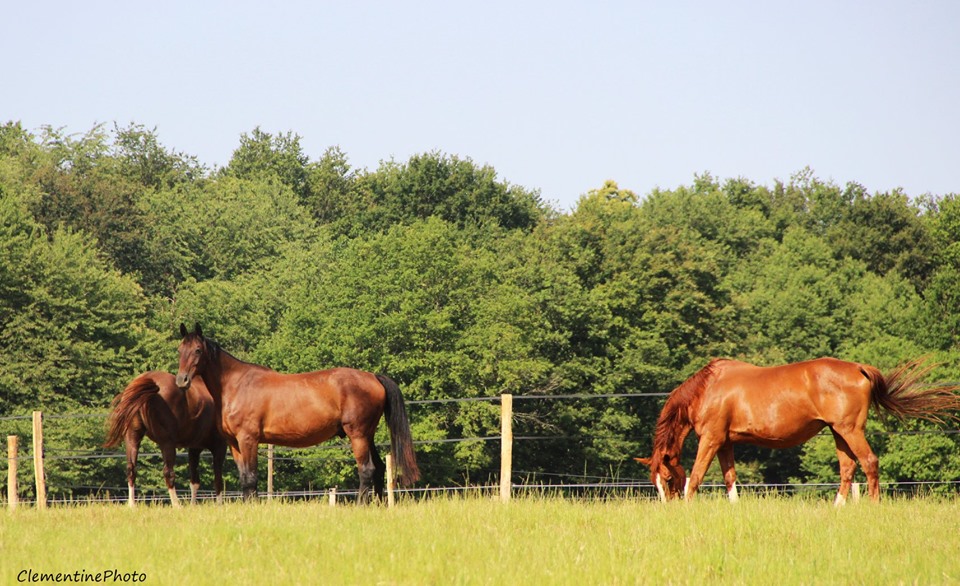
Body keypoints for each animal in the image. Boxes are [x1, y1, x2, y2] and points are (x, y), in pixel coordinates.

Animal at [104, 372, 227, 504]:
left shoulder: (195, 447)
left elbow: (194, 482)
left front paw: (193, 505)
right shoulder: (219, 446)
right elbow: (218, 481)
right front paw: (219, 505)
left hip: (132, 438)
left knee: (131, 469)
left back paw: (132, 505)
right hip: (167, 443)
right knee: (168, 473)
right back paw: (177, 505)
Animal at [173, 322, 420, 500]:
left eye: (197, 350)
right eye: (180, 349)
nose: (181, 380)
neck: (237, 385)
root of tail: (373, 377)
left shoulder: (248, 440)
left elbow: (251, 478)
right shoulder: (235, 444)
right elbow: (244, 479)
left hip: (358, 435)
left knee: (366, 470)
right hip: (367, 436)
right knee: (378, 469)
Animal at [636, 356, 960, 502]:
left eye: (667, 478)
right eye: (654, 482)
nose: (667, 507)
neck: (707, 388)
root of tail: (858, 368)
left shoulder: (711, 439)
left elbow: (696, 477)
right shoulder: (726, 442)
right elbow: (730, 479)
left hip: (851, 430)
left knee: (869, 463)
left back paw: (873, 505)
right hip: (839, 433)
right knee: (847, 469)